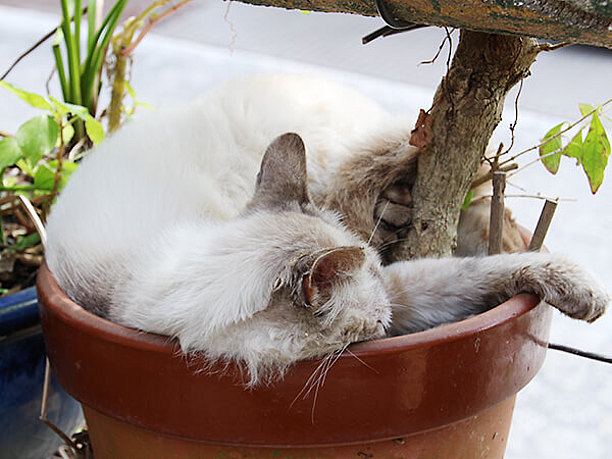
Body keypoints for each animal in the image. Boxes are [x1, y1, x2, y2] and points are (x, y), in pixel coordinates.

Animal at [45, 74, 608, 384]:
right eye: (376, 310)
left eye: (378, 279)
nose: (387, 314)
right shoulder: (403, 299)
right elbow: (476, 274)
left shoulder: (406, 285)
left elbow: (493, 268)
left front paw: (585, 294)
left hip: (336, 158)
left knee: (464, 177)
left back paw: (407, 202)